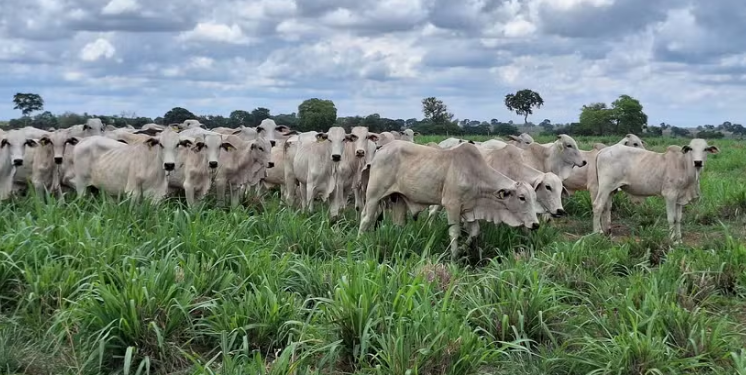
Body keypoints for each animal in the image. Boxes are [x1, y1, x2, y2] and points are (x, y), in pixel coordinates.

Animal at [358, 141, 536, 262]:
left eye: (534, 197)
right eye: (522, 197)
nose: (536, 225)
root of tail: (380, 150)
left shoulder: (468, 209)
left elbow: (475, 232)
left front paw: (464, 249)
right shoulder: (452, 205)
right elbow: (454, 232)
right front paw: (454, 257)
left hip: (398, 200)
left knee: (398, 223)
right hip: (373, 195)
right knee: (366, 219)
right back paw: (360, 242)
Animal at [588, 140, 716, 242]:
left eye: (705, 149)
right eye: (691, 149)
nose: (698, 162)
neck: (683, 165)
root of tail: (603, 151)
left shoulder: (680, 198)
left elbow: (678, 219)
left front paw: (679, 240)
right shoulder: (670, 195)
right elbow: (672, 219)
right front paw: (672, 240)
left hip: (611, 190)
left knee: (606, 208)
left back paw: (607, 232)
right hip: (605, 187)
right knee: (597, 206)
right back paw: (596, 233)